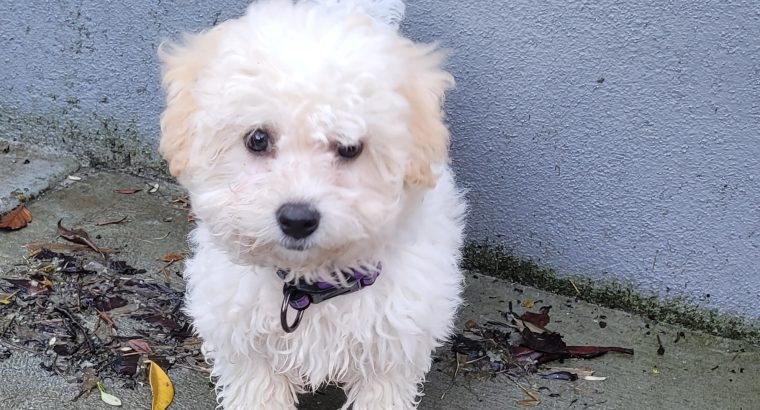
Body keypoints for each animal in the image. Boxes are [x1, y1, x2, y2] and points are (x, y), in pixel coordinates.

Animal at [159, 1, 464, 408]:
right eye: (258, 139)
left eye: (350, 147)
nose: (297, 219)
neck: (310, 287)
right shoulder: (246, 344)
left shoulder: (394, 344)